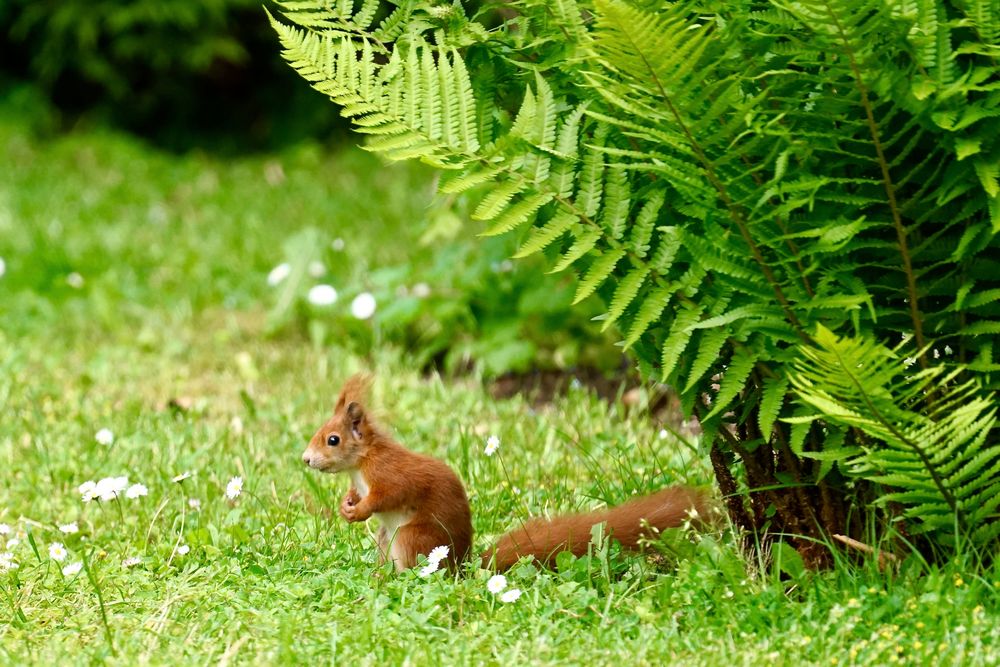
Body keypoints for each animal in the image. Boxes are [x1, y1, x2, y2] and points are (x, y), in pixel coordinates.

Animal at [300, 376, 708, 576]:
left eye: (333, 439)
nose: (305, 460)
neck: (362, 464)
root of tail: (464, 564)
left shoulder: (389, 473)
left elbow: (389, 495)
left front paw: (359, 509)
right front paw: (347, 505)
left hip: (412, 537)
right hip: (389, 539)